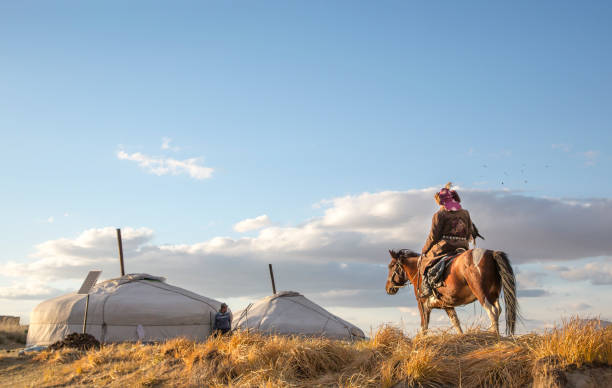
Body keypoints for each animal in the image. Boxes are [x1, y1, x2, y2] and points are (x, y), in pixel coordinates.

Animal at [384, 249, 520, 336]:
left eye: (391, 266)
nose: (388, 288)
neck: (419, 272)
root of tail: (491, 253)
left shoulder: (422, 305)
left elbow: (424, 327)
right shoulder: (447, 305)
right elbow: (456, 323)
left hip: (482, 294)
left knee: (492, 311)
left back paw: (494, 334)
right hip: (492, 295)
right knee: (498, 310)